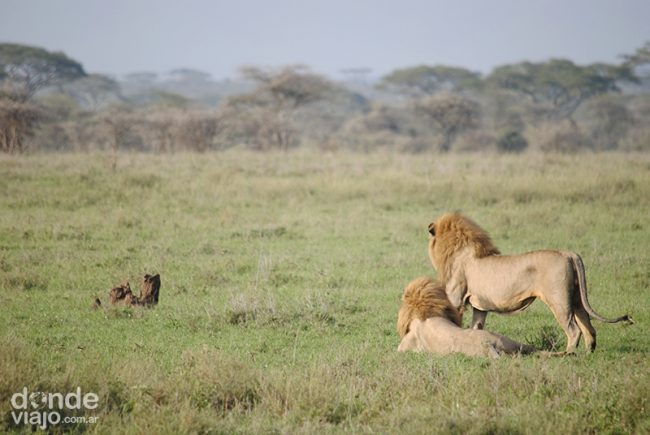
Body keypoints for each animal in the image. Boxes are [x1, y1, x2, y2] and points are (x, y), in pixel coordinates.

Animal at [426, 214, 628, 354]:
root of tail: (568, 253)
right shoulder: (480, 306)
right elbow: (477, 327)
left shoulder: (456, 298)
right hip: (577, 300)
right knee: (589, 329)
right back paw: (587, 355)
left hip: (559, 300)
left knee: (573, 330)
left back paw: (568, 354)